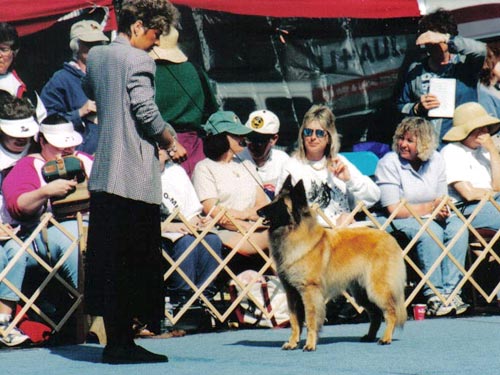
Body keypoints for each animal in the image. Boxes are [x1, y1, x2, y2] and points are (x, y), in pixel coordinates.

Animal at [258, 176, 406, 352]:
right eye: (274, 201)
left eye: (279, 204)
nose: (258, 212)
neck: (295, 233)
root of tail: (390, 237)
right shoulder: (292, 293)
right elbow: (295, 322)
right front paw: (293, 343)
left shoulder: (309, 292)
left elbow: (310, 320)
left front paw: (310, 344)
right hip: (361, 293)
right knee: (375, 314)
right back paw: (370, 337)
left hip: (376, 289)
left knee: (391, 312)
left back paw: (386, 338)